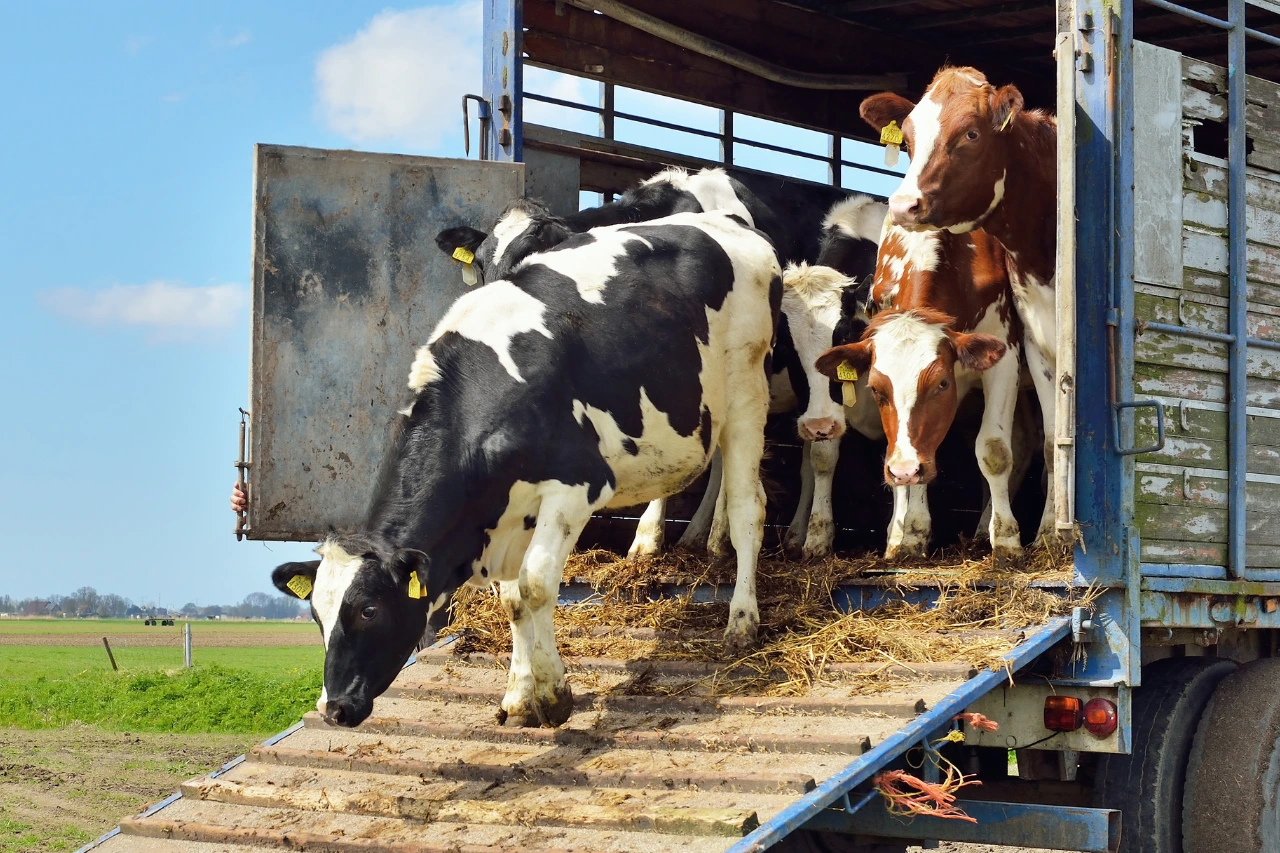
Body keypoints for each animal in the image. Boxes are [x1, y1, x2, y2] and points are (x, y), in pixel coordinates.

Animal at [272, 210, 781, 729]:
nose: (333, 707)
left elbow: (536, 586)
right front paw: (518, 695)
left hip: (747, 391)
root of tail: (726, 221)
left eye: (369, 610)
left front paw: (555, 695)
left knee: (748, 509)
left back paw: (742, 621)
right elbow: (513, 601)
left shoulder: (575, 485)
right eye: (316, 616)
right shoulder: (507, 514)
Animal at [815, 226, 1025, 562]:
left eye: (941, 383)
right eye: (876, 389)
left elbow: (995, 451)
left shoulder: (1004, 355)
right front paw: (910, 532)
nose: (904, 470)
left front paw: (1007, 540)